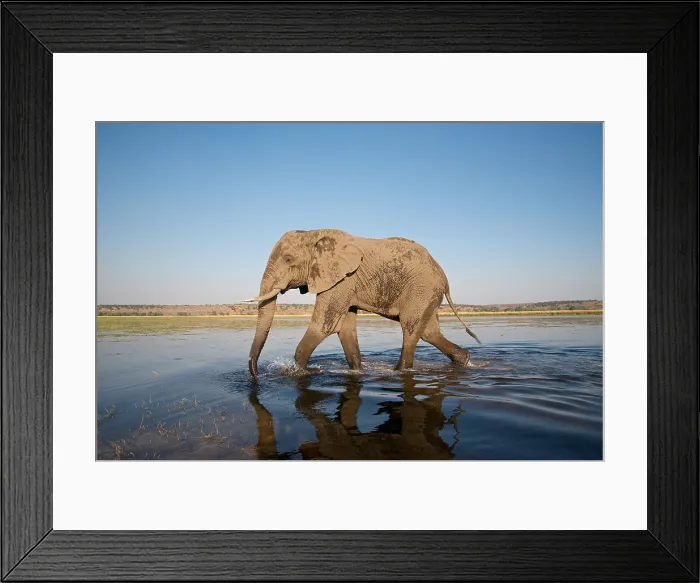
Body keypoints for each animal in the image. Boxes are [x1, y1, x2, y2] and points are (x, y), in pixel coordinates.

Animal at [246, 229, 481, 377]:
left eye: (288, 260)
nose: (256, 375)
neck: (314, 234)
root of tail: (444, 277)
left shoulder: (342, 280)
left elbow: (324, 326)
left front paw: (298, 373)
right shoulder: (345, 283)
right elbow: (345, 329)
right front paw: (357, 371)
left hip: (422, 289)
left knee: (411, 329)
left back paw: (399, 371)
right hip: (426, 294)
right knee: (429, 332)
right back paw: (465, 359)